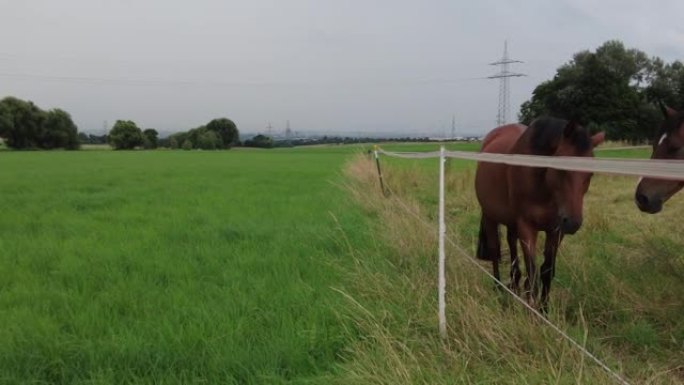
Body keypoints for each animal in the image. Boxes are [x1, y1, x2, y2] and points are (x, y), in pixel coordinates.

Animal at [476, 117, 604, 308]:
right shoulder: (527, 227)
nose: (573, 223)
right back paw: (499, 289)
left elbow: (547, 271)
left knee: (511, 243)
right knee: (493, 250)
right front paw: (531, 309)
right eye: (561, 169)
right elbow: (533, 273)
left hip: (512, 222)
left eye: (590, 174)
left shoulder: (556, 231)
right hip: (490, 216)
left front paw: (544, 309)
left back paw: (514, 283)